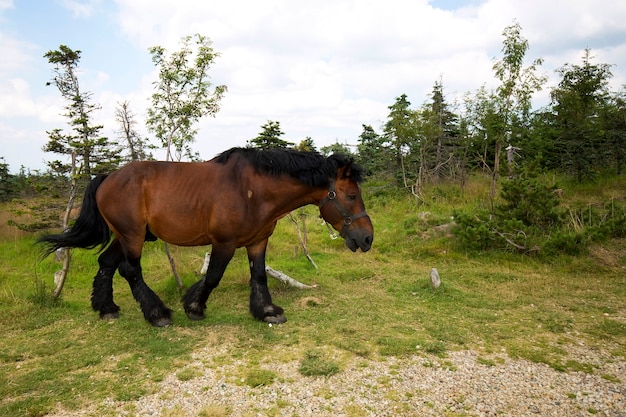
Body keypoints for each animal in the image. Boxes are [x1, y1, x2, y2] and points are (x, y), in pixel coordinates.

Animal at [37, 146, 370, 324]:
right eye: (352, 195)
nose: (367, 238)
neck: (253, 190)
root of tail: (108, 177)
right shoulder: (224, 243)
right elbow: (212, 277)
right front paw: (194, 306)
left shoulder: (257, 241)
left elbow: (259, 275)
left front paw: (266, 311)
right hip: (132, 235)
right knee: (130, 270)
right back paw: (157, 313)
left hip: (125, 235)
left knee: (106, 263)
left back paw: (106, 308)